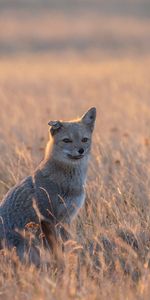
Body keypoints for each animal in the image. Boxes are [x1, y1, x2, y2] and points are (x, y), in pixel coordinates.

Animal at [0, 107, 96, 264]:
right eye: (67, 140)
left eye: (84, 140)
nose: (81, 150)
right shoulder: (48, 218)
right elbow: (57, 249)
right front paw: (61, 262)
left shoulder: (66, 219)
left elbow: (66, 243)